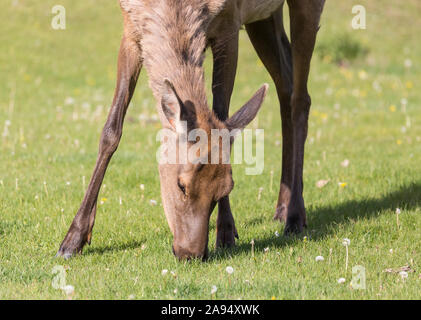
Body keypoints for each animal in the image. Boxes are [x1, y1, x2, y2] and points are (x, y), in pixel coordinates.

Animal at [55, 0, 324, 260]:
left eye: (226, 188)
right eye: (181, 185)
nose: (191, 253)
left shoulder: (230, 23)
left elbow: (221, 116)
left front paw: (226, 232)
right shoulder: (131, 26)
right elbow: (111, 130)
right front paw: (72, 241)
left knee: (301, 97)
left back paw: (295, 215)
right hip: (263, 17)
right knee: (286, 84)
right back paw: (281, 208)